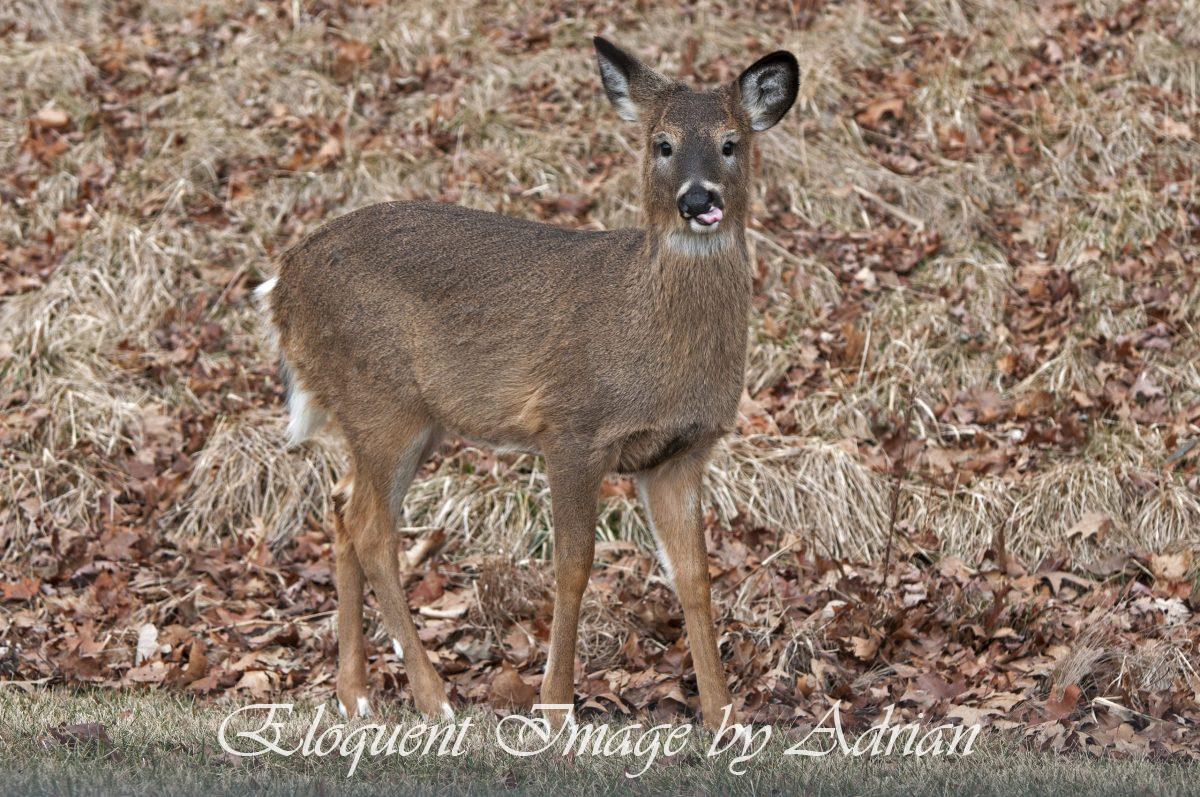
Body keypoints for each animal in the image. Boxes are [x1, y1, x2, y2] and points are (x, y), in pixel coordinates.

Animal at [257, 36, 798, 730]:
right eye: (662, 144)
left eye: (731, 143)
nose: (697, 199)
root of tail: (281, 285)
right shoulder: (571, 427)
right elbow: (573, 567)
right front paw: (556, 706)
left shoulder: (680, 454)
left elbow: (695, 577)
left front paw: (723, 716)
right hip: (382, 401)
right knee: (372, 527)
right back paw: (434, 699)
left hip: (405, 420)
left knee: (342, 505)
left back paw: (355, 695)